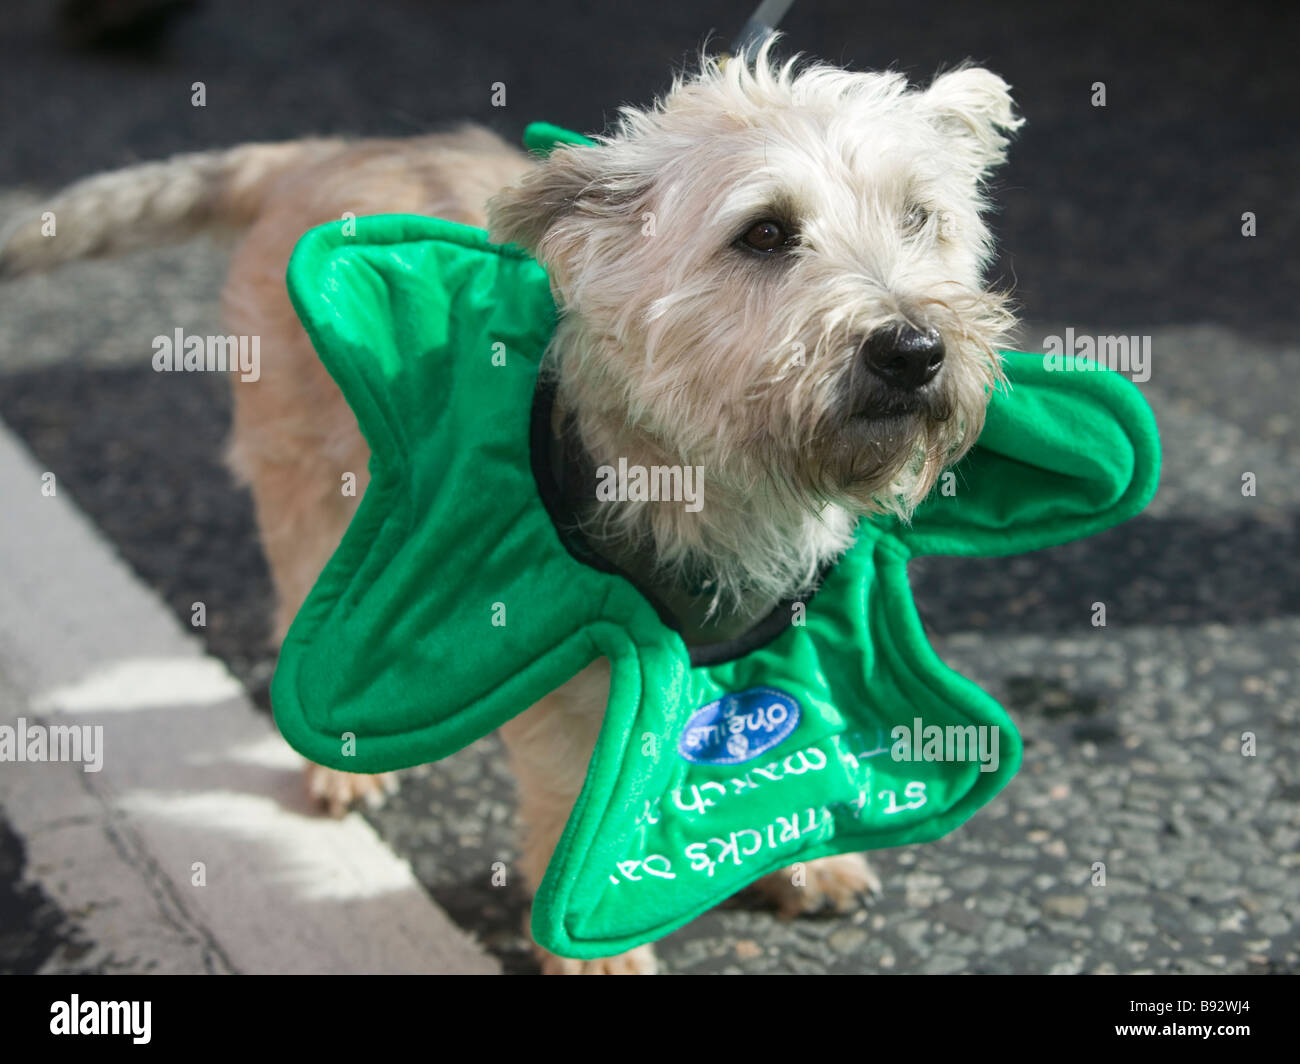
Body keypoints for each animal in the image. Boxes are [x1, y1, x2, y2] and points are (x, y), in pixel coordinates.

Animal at [0, 43, 1019, 967]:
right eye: (765, 233)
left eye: (919, 218)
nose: (914, 350)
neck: (716, 470)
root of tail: (318, 153)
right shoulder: (577, 645)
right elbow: (577, 786)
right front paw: (597, 950)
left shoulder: (772, 630)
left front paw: (802, 859)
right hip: (313, 487)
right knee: (304, 609)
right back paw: (334, 766)